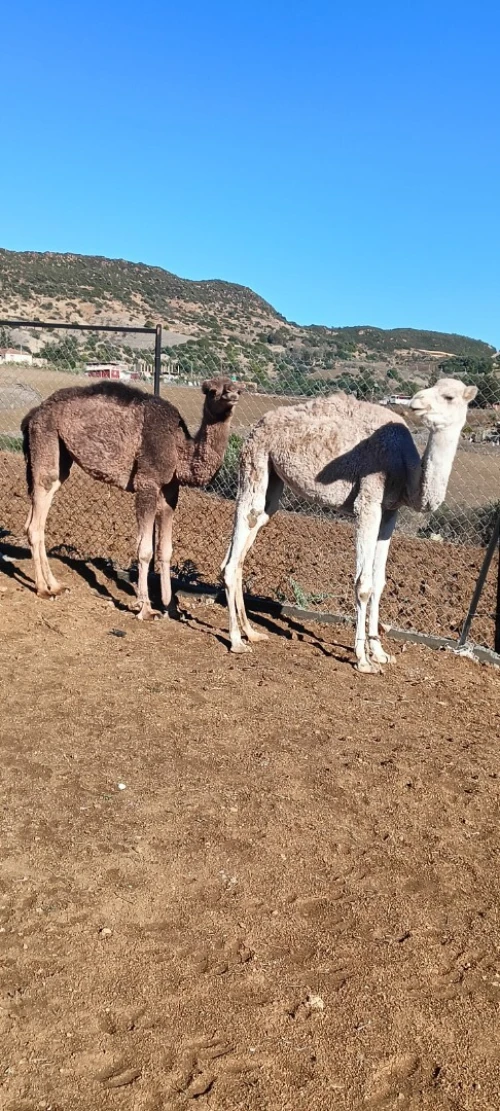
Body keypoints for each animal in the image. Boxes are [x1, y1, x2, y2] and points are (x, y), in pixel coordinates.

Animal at [22, 377, 241, 618]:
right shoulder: (147, 483)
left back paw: (55, 585)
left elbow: (166, 550)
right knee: (37, 519)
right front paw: (145, 608)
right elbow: (145, 550)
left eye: (239, 389)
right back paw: (43, 589)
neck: (179, 449)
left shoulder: (170, 492)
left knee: (37, 512)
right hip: (46, 437)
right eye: (212, 391)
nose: (232, 394)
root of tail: (33, 413)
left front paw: (171, 607)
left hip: (59, 456)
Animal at [222, 378, 477, 672]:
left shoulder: (390, 512)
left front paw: (380, 653)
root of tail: (258, 424)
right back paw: (236, 641)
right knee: (243, 526)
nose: (416, 401)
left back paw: (251, 633)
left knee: (248, 535)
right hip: (255, 461)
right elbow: (364, 585)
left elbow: (379, 582)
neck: (404, 468)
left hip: (272, 482)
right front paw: (363, 659)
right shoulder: (367, 502)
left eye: (448, 396)